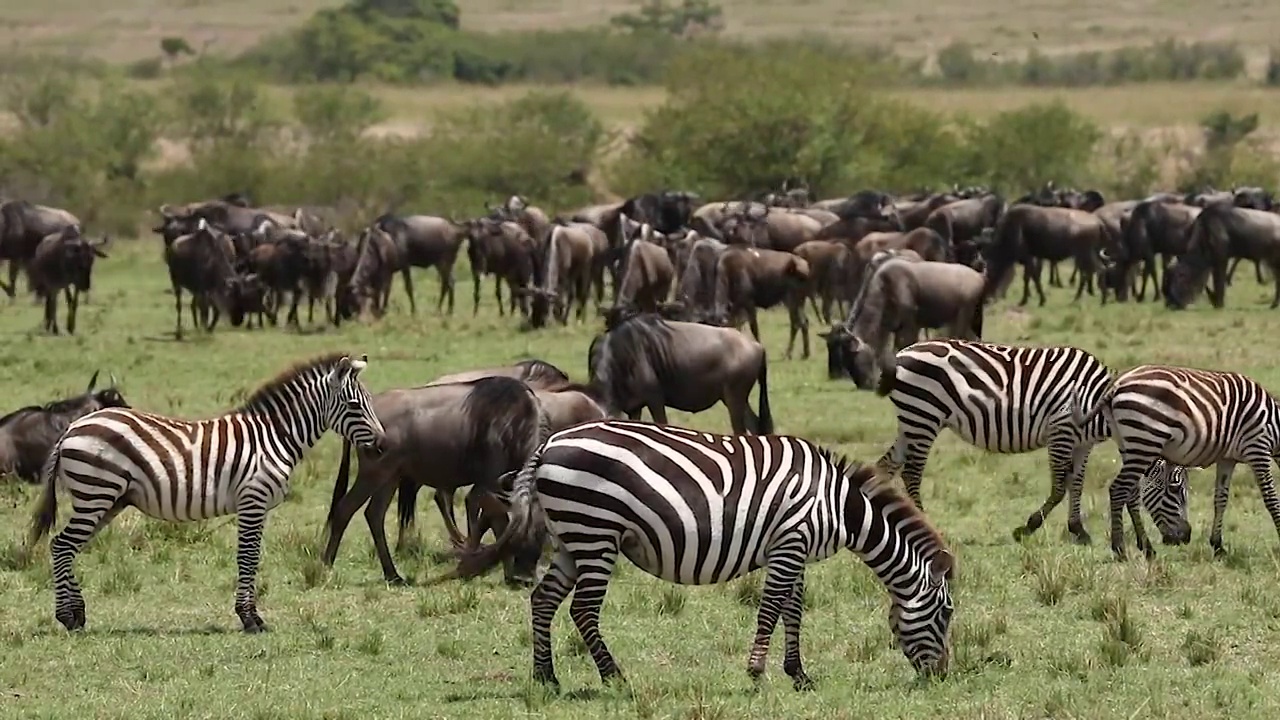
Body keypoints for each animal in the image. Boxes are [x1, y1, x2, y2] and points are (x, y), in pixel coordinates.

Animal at [26, 351, 384, 630]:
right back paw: (67, 617)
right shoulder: (252, 500)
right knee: (61, 546)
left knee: (67, 547)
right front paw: (250, 618)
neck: (274, 436)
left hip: (107, 500)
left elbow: (252, 557)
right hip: (96, 494)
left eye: (368, 403)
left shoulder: (256, 505)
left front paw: (251, 615)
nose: (382, 446)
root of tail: (73, 427)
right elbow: (248, 556)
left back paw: (77, 614)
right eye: (354, 405)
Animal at [445, 417, 957, 686]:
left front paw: (798, 674)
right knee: (583, 611)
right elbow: (771, 609)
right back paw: (615, 677)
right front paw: (756, 672)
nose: (941, 676)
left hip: (574, 537)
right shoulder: (790, 542)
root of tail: (548, 443)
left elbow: (794, 611)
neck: (836, 504)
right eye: (947, 614)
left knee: (544, 601)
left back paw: (546, 677)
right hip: (596, 532)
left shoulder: (794, 549)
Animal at [875, 335, 1192, 543]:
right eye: (1175, 491)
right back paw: (926, 526)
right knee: (912, 473)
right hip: (924, 415)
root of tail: (903, 352)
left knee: (886, 466)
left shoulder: (1082, 443)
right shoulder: (1061, 431)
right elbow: (1060, 488)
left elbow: (1077, 483)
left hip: (912, 419)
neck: (1098, 402)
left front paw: (1078, 530)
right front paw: (1028, 527)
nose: (1185, 537)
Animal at [1070, 361, 1280, 558]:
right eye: (1174, 489)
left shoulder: (1227, 458)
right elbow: (1270, 498)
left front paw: (1218, 546)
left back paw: (1145, 548)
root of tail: (1117, 383)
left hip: (1129, 444)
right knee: (1118, 489)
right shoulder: (1258, 447)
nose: (1186, 536)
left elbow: (1220, 499)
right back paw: (1120, 549)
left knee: (1130, 492)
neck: (1275, 422)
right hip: (1146, 439)